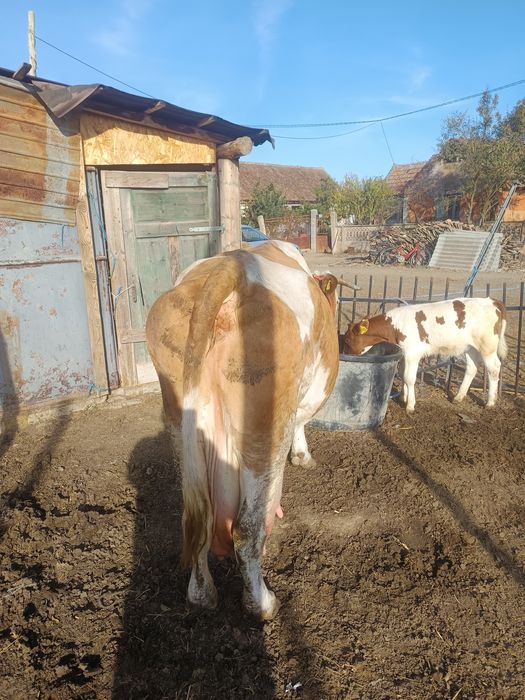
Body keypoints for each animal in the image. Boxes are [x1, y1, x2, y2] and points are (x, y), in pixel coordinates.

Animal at [146, 240, 343, 619]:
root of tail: (226, 269)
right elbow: (302, 422)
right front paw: (302, 455)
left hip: (179, 417)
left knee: (199, 520)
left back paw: (201, 596)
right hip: (263, 426)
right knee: (246, 529)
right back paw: (262, 603)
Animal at [343, 297, 507, 414]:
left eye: (347, 340)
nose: (346, 355)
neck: (395, 326)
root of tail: (492, 301)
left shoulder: (412, 353)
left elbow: (409, 378)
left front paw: (410, 405)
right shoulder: (404, 354)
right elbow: (402, 375)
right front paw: (403, 397)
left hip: (487, 346)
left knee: (494, 368)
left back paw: (490, 402)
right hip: (470, 347)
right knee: (472, 368)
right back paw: (458, 397)